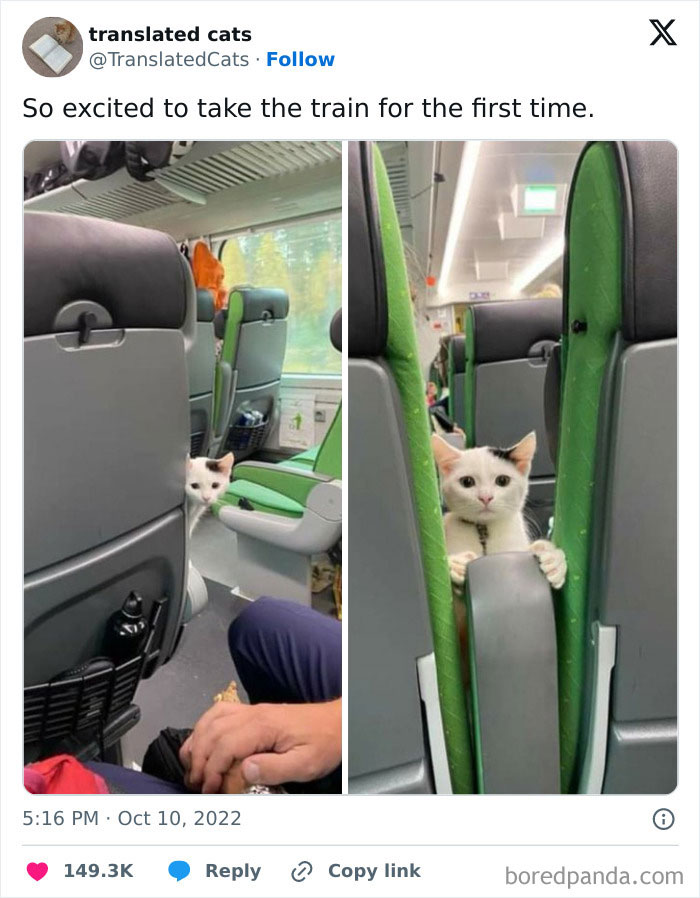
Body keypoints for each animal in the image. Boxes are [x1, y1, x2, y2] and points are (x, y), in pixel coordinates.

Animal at [430, 432, 568, 588]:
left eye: (502, 480)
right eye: (467, 482)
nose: (485, 497)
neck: (484, 530)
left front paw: (554, 561)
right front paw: (456, 564)